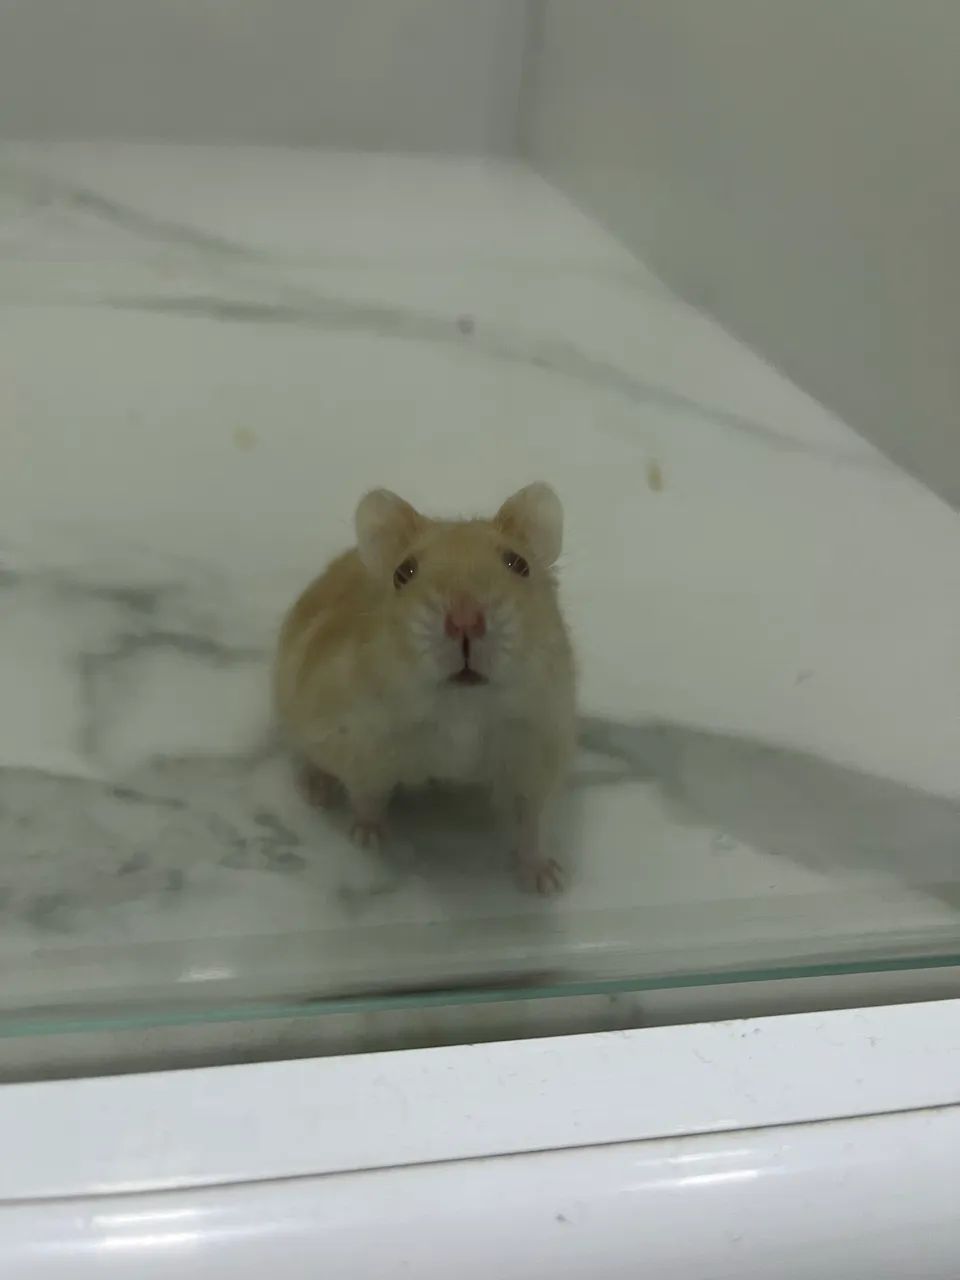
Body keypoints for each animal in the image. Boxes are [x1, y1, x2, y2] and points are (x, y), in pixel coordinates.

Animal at [274, 483, 576, 894]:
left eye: (518, 564)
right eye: (404, 572)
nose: (465, 622)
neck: (462, 709)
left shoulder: (537, 752)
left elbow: (530, 824)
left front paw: (548, 882)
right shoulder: (360, 744)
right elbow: (367, 797)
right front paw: (370, 841)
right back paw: (316, 791)